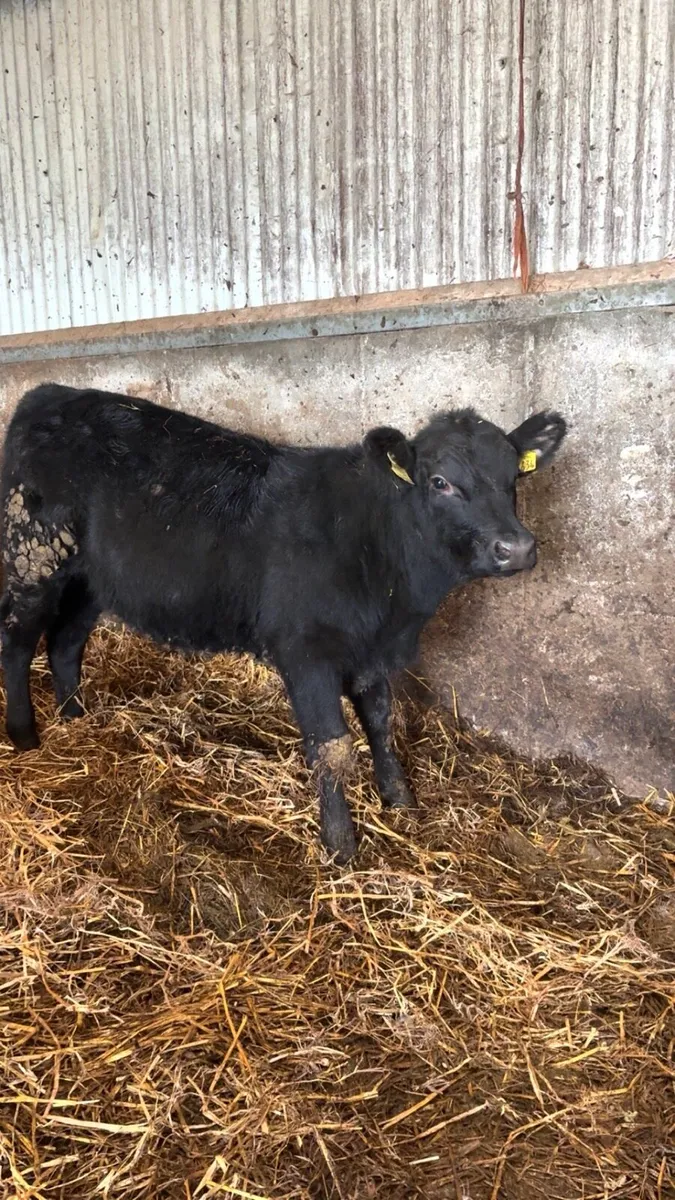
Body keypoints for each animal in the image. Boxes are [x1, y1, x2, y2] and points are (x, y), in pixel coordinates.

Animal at [0, 383, 566, 861]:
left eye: (514, 478)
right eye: (441, 482)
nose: (516, 547)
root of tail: (50, 394)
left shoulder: (369, 649)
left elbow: (380, 721)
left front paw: (399, 800)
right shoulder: (306, 650)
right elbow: (332, 746)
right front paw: (341, 846)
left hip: (90, 579)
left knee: (65, 642)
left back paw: (77, 719)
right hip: (33, 557)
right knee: (18, 641)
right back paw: (25, 734)